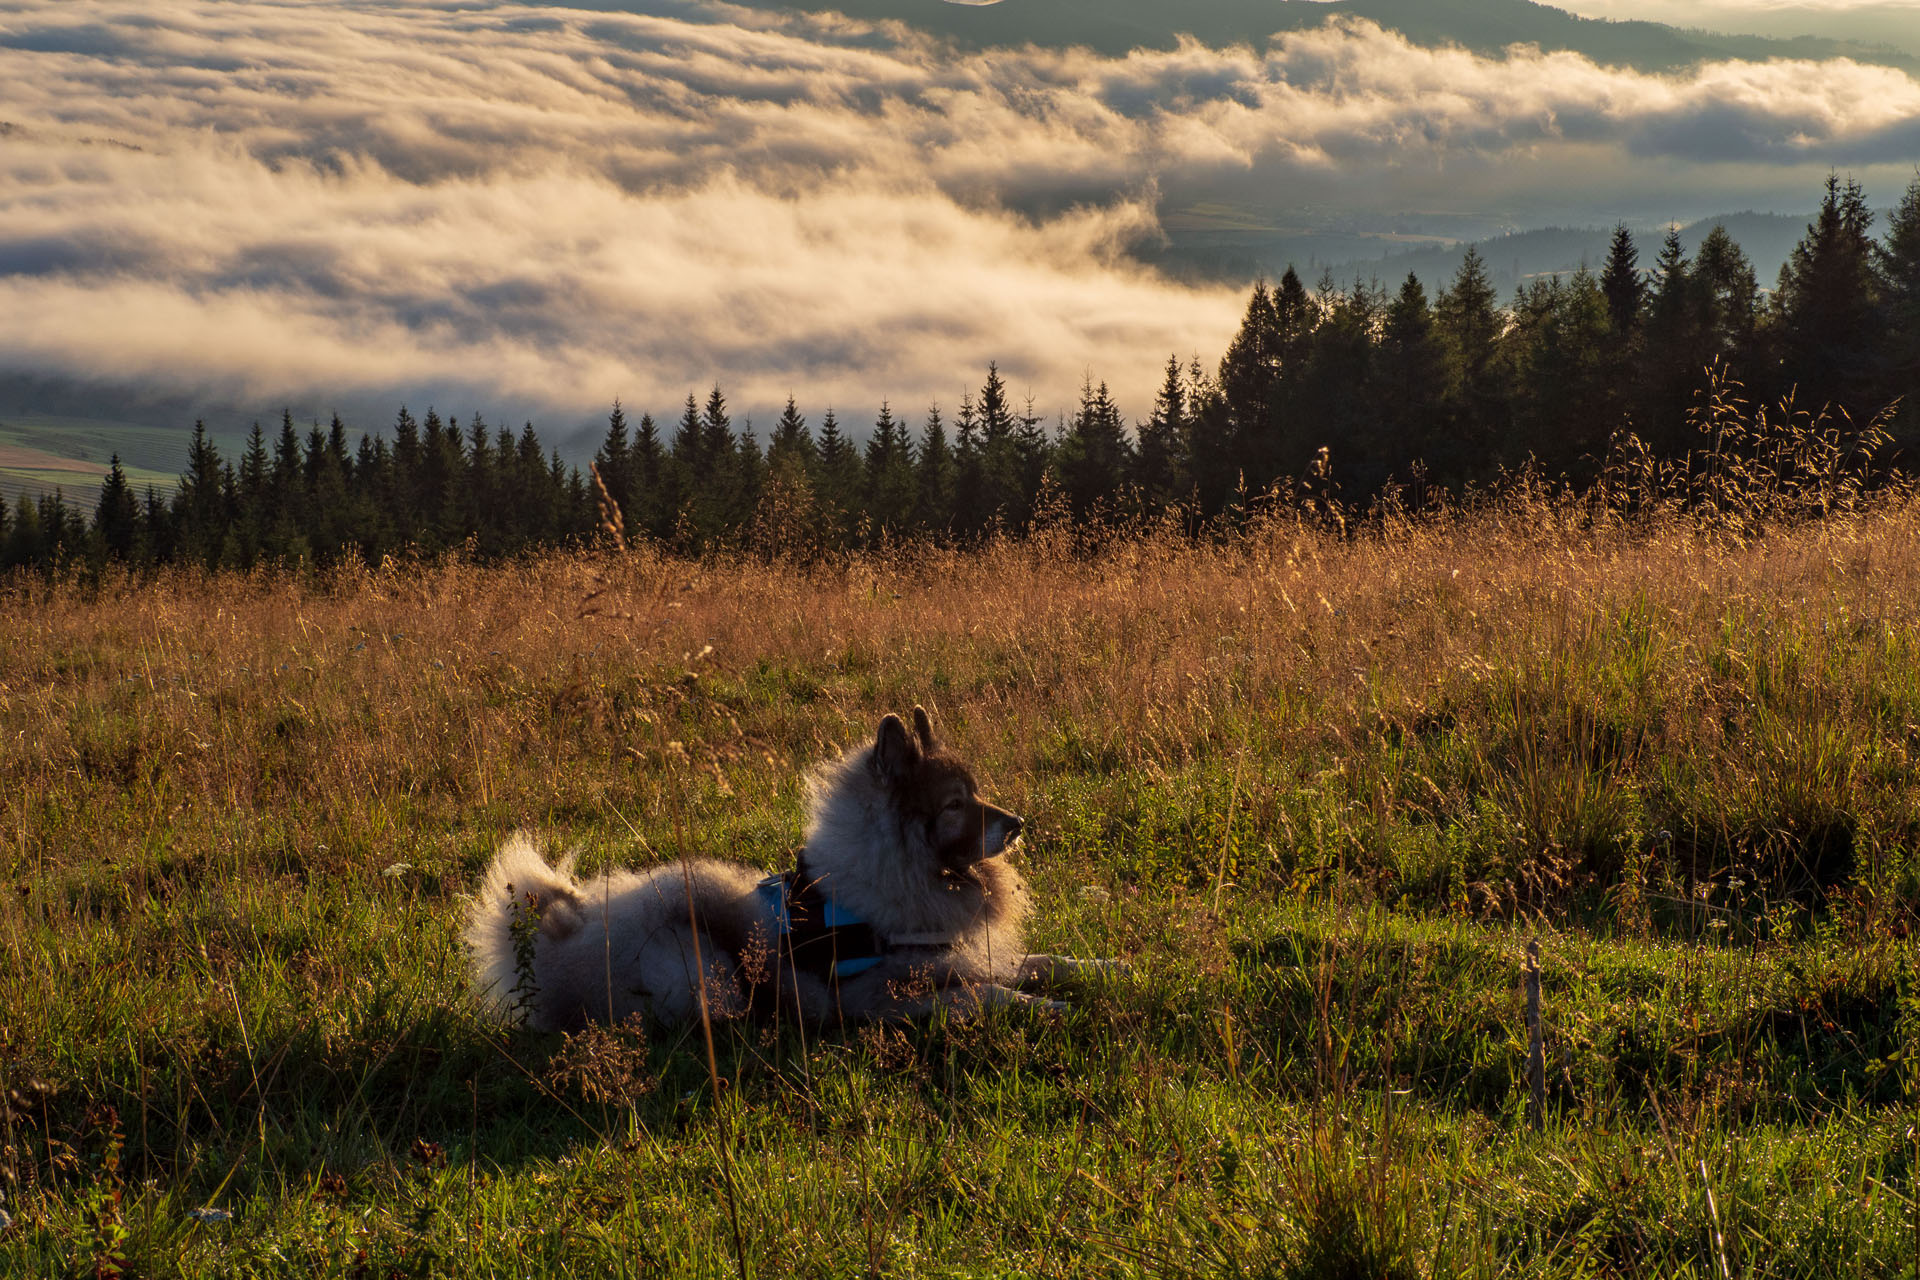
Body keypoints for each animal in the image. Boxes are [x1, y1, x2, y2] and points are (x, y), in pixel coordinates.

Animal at [470, 706, 1121, 1028]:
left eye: (976, 793)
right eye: (955, 804)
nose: (1017, 824)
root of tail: (550, 945)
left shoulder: (962, 952)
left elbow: (1040, 961)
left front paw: (1107, 967)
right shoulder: (874, 995)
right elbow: (985, 994)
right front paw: (1048, 1009)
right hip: (704, 968)